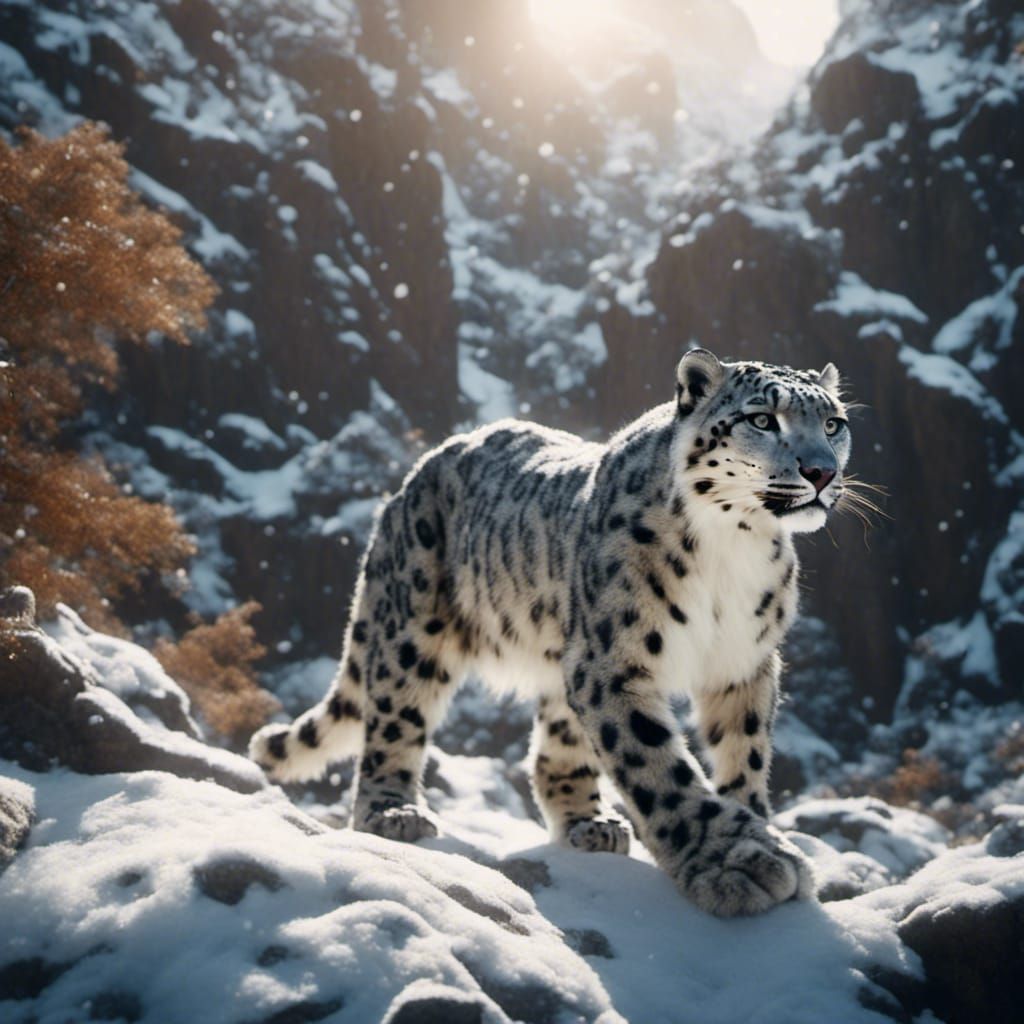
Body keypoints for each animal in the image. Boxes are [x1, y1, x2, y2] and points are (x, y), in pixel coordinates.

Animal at [250, 348, 853, 917]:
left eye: (833, 424)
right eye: (762, 418)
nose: (821, 472)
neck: (734, 549)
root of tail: (412, 478)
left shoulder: (743, 662)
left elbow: (743, 752)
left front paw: (758, 827)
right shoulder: (614, 661)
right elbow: (656, 763)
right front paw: (736, 862)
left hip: (564, 655)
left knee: (552, 749)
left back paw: (590, 823)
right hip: (415, 625)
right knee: (394, 720)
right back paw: (392, 811)